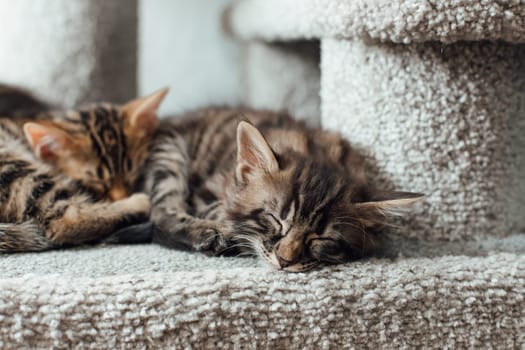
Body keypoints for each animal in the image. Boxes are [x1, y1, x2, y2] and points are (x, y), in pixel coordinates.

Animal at [0, 86, 168, 253]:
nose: (121, 196)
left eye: (132, 173)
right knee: (65, 220)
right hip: (15, 167)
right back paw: (140, 202)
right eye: (97, 181)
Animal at [140, 108, 422, 272]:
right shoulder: (208, 192)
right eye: (276, 219)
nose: (285, 261)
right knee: (160, 214)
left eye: (322, 238)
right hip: (169, 153)